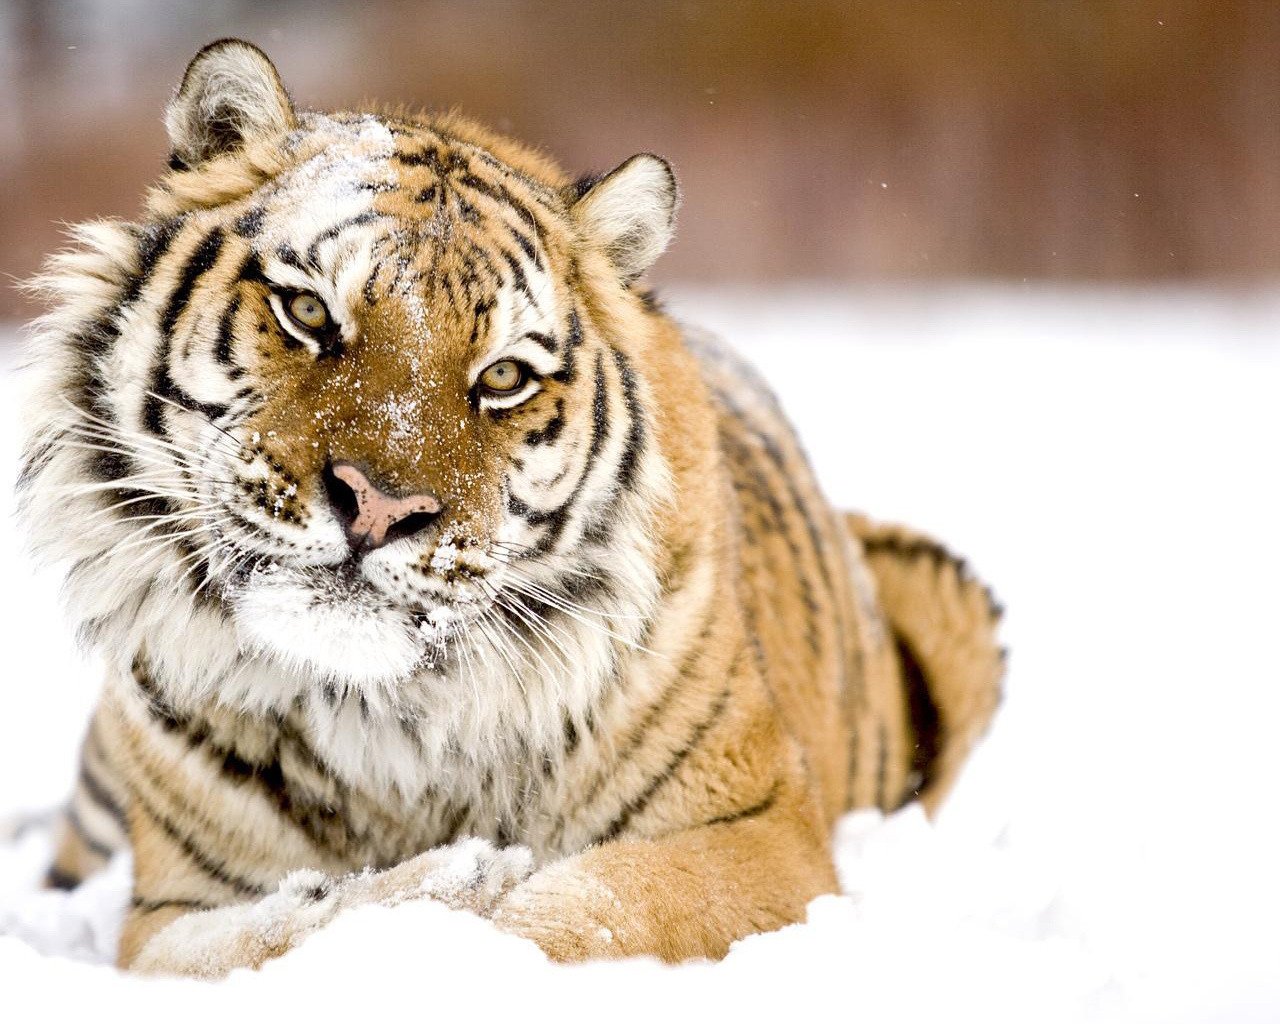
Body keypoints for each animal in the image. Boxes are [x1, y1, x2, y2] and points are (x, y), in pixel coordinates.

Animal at [16, 39, 1004, 976]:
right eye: (308, 311)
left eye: (502, 378)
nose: (379, 508)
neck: (381, 728)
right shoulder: (165, 914)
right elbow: (260, 939)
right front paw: (443, 882)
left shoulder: (762, 838)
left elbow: (579, 914)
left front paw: (469, 892)